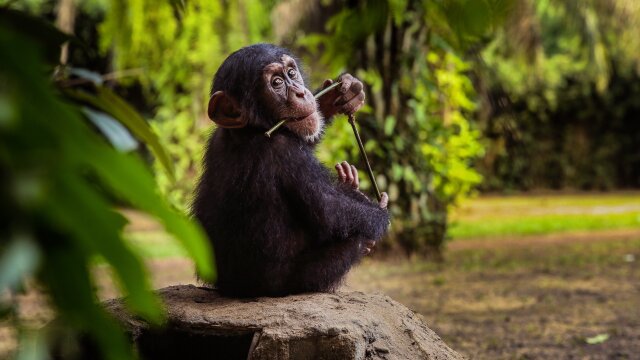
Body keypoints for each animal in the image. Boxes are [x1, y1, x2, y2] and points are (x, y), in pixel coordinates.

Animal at [191, 43, 390, 296]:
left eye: (291, 73)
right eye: (276, 83)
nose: (300, 92)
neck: (252, 129)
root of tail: (230, 288)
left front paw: (345, 92)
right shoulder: (285, 152)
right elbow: (330, 209)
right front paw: (380, 212)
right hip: (296, 282)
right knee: (354, 237)